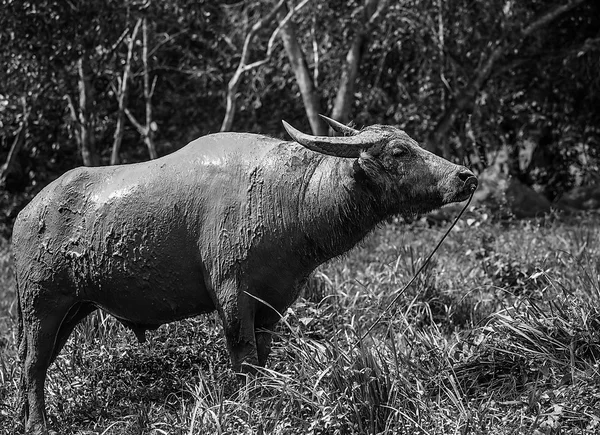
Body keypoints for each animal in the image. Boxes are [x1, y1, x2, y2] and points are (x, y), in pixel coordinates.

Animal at [14, 117, 478, 434]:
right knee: (34, 364)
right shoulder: (232, 293)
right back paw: (38, 424)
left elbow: (264, 354)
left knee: (32, 363)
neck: (289, 199)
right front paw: (246, 407)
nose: (466, 175)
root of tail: (26, 213)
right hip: (42, 305)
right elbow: (243, 355)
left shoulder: (277, 299)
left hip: (74, 308)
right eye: (400, 151)